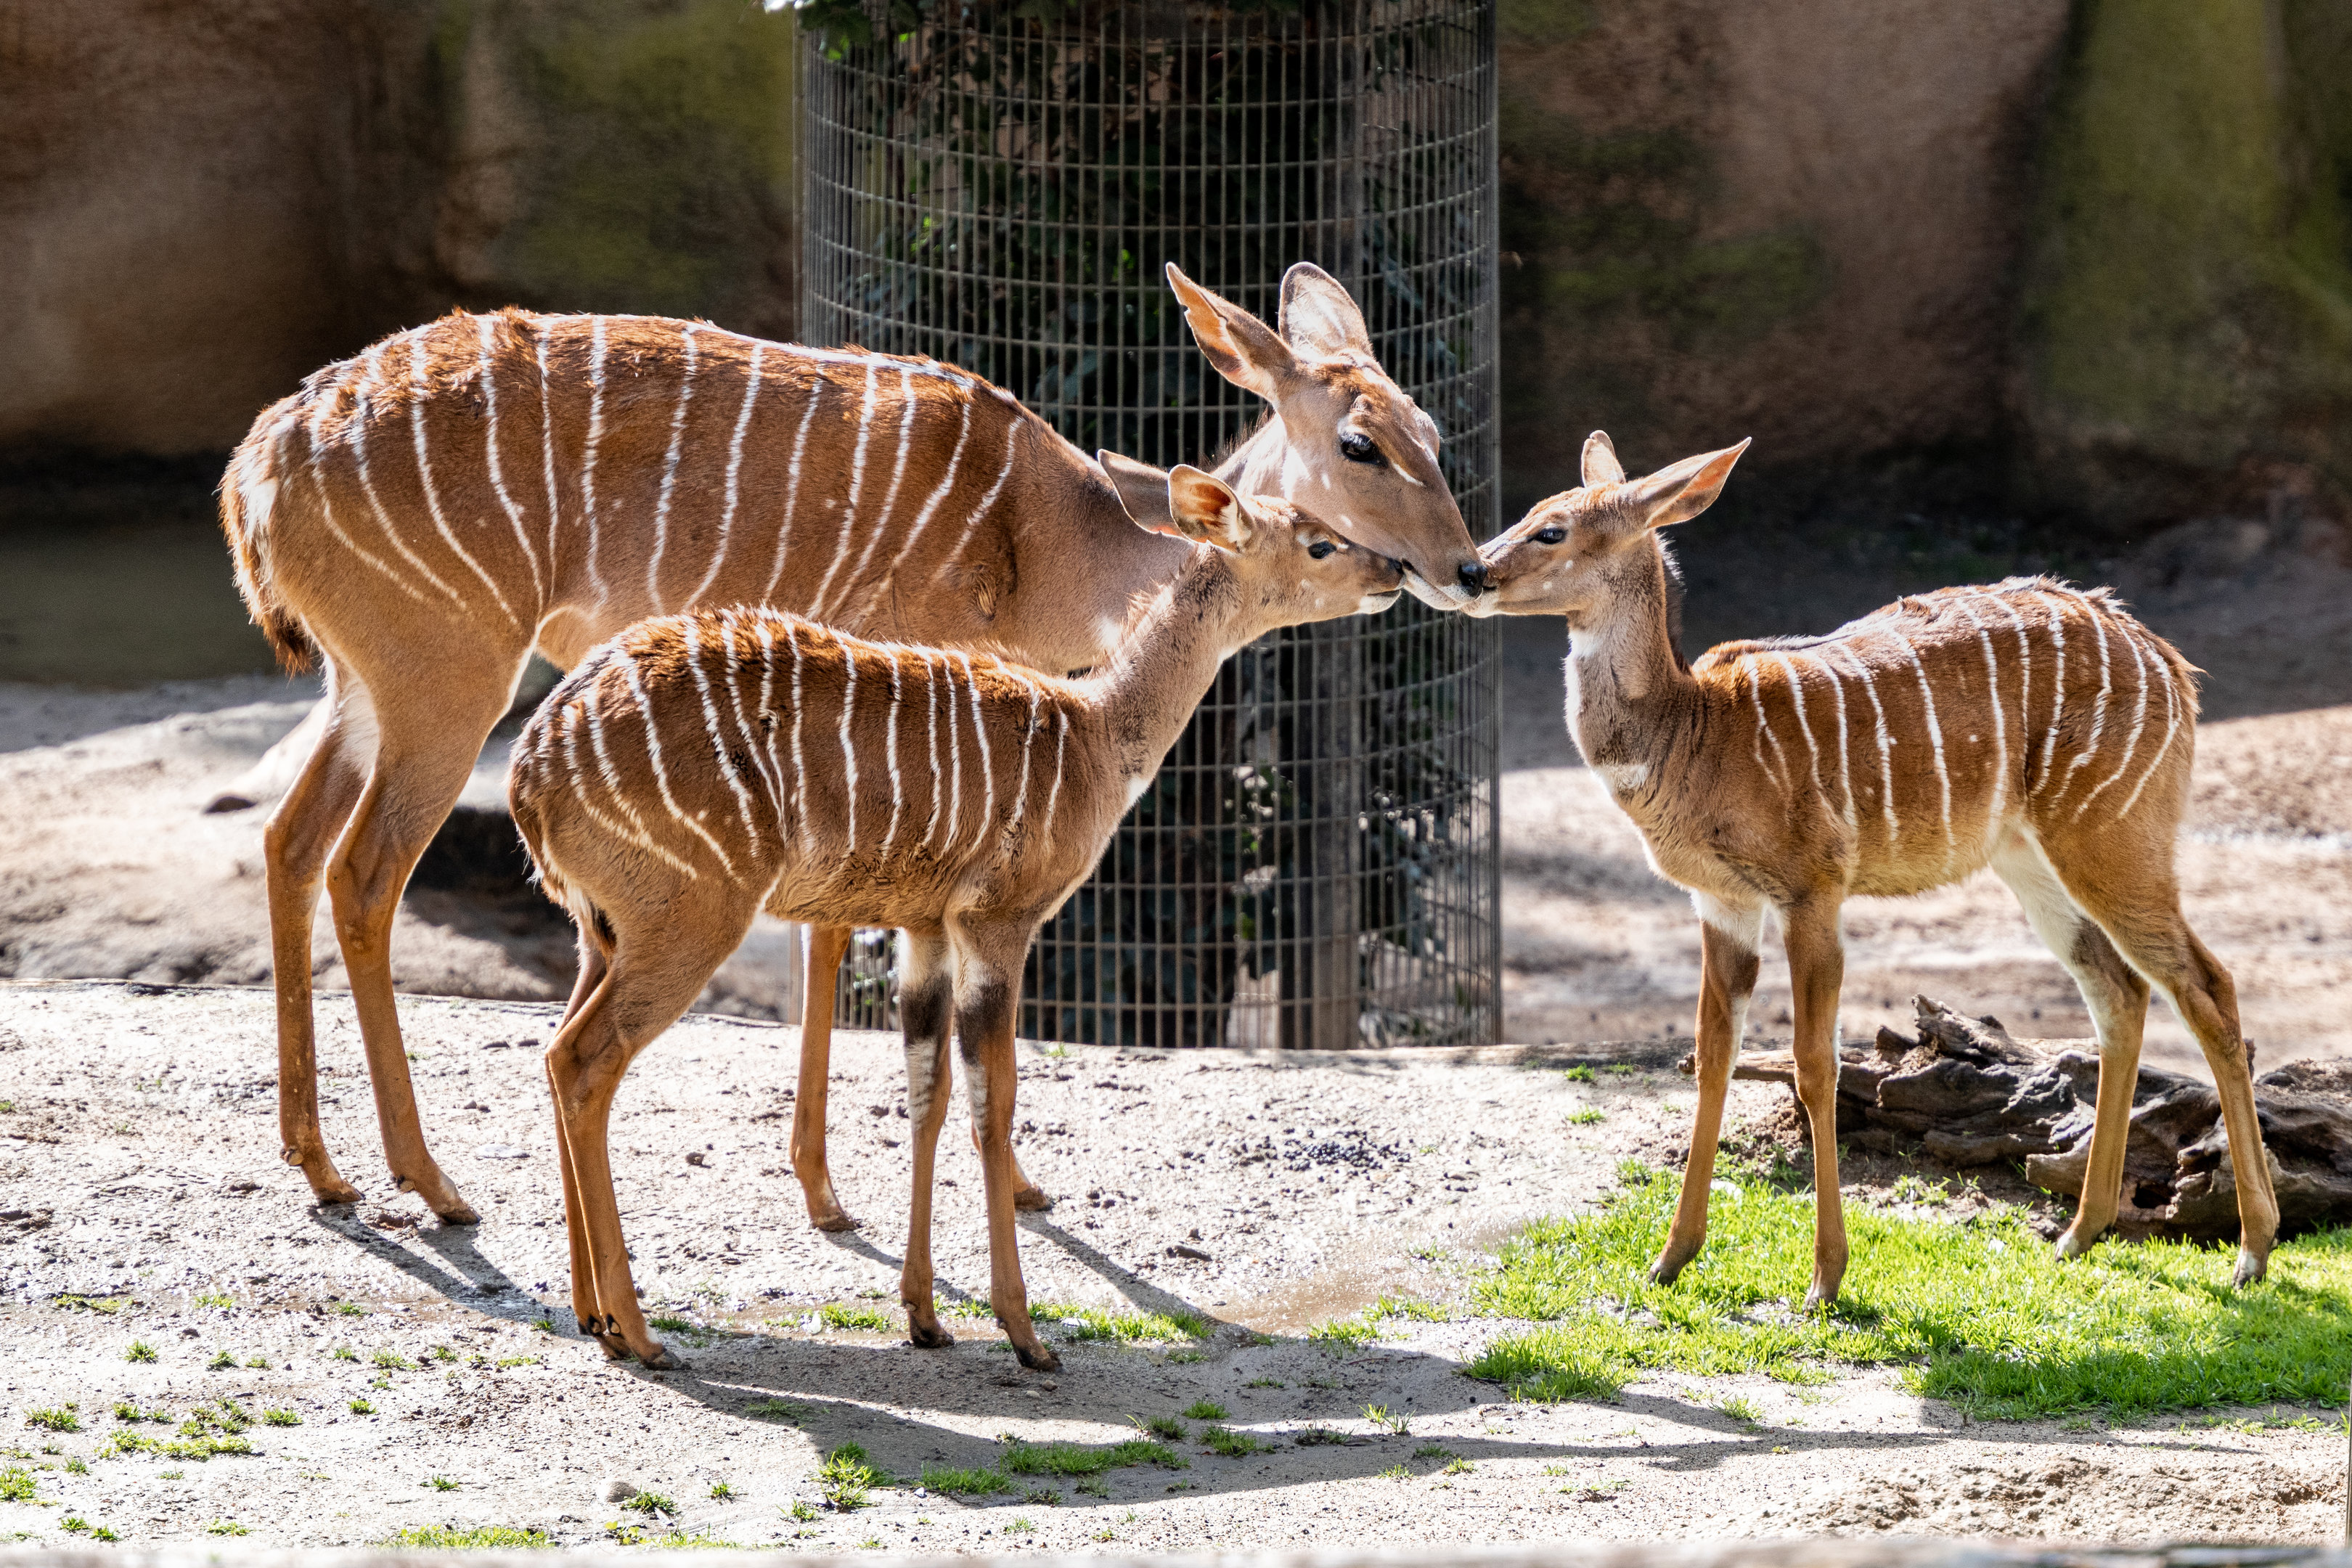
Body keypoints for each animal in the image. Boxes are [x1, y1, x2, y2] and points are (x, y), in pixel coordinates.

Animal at [217, 261, 1484, 1232]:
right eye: (1359, 445)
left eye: (1430, 431)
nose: (1465, 570)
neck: (1050, 537)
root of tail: (257, 468)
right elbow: (840, 943)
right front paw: (847, 1192)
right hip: (449, 679)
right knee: (364, 870)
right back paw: (429, 1183)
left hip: (365, 685)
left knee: (287, 842)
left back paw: (321, 1166)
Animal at [506, 461, 1404, 1370]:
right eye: (1319, 542)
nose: (1395, 570)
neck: (1094, 737)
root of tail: (530, 771)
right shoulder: (1000, 923)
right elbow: (992, 1105)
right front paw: (1024, 1332)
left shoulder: (926, 930)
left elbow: (927, 1096)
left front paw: (925, 1317)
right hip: (690, 919)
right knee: (585, 1060)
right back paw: (641, 1333)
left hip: (602, 932)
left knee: (556, 1050)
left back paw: (594, 1316)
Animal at [1467, 432, 2280, 1306]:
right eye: (1528, 513)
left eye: (1552, 530)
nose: (1472, 573)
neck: (1694, 732)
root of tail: (2173, 667)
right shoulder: (1721, 904)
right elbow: (1712, 1056)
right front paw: (1670, 1258)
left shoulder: (1812, 894)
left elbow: (1813, 1065)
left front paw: (1825, 1280)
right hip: (2031, 859)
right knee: (2119, 991)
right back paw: (2078, 1234)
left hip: (2115, 838)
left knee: (2207, 986)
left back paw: (2253, 1249)